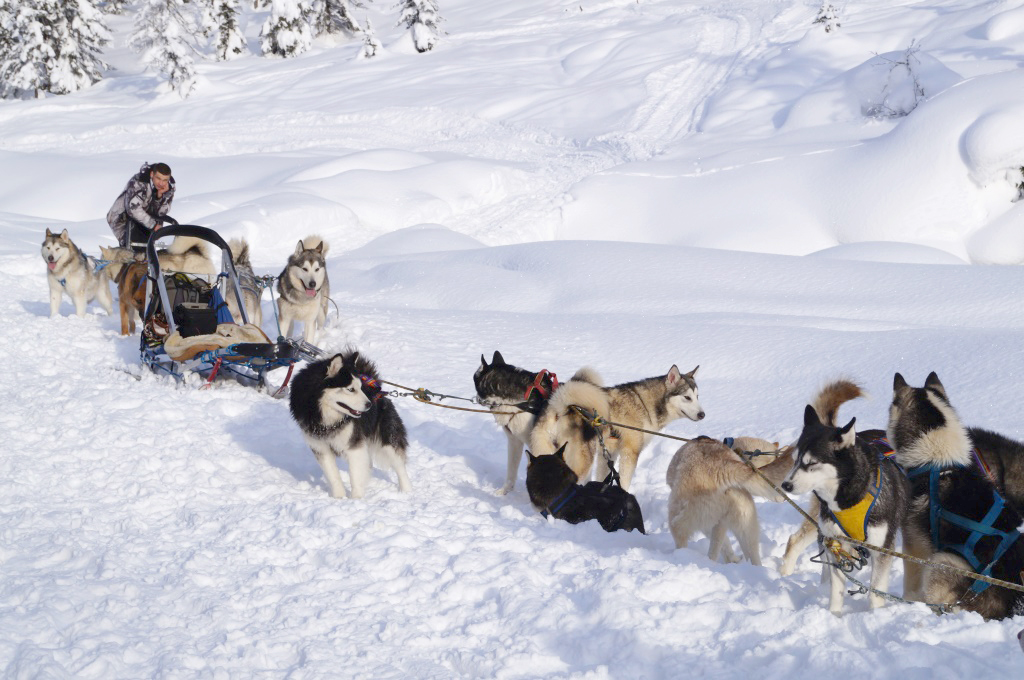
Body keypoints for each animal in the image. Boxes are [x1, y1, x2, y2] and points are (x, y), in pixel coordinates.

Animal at [286, 350, 409, 499]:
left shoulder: (354, 446)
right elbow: (334, 476)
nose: (369, 404)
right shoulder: (321, 448)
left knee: (400, 466)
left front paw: (356, 499)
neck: (326, 420)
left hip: (388, 440)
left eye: (360, 388)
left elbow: (355, 477)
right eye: (350, 389)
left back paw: (407, 491)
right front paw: (339, 498)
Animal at [528, 366, 704, 489]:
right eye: (687, 397)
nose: (702, 414)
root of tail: (559, 408)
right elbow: (625, 482)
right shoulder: (630, 452)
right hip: (582, 461)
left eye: (697, 396)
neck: (645, 404)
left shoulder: (609, 453)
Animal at [782, 378, 913, 614]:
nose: (785, 484)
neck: (850, 498)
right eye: (795, 459)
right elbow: (837, 591)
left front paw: (874, 615)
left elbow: (875, 593)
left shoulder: (882, 549)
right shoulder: (837, 544)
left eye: (812, 462)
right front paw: (834, 616)